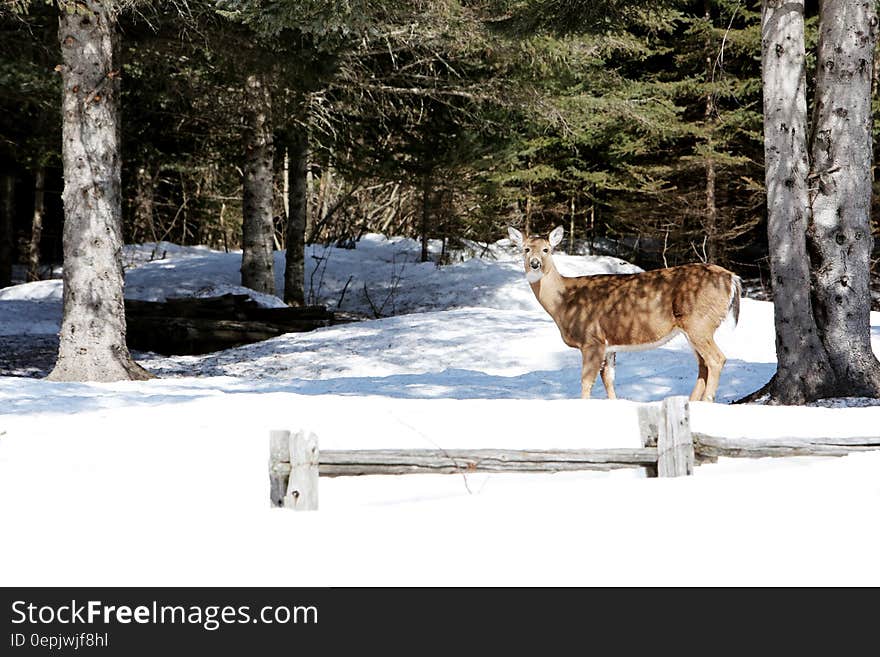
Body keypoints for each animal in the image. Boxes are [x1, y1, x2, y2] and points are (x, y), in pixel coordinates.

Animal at [508, 224, 744, 400]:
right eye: (526, 249)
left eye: (546, 249)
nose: (535, 264)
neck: (564, 300)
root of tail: (732, 278)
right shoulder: (608, 344)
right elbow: (609, 380)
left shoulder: (591, 339)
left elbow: (586, 381)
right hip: (693, 327)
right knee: (703, 364)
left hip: (700, 322)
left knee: (716, 359)